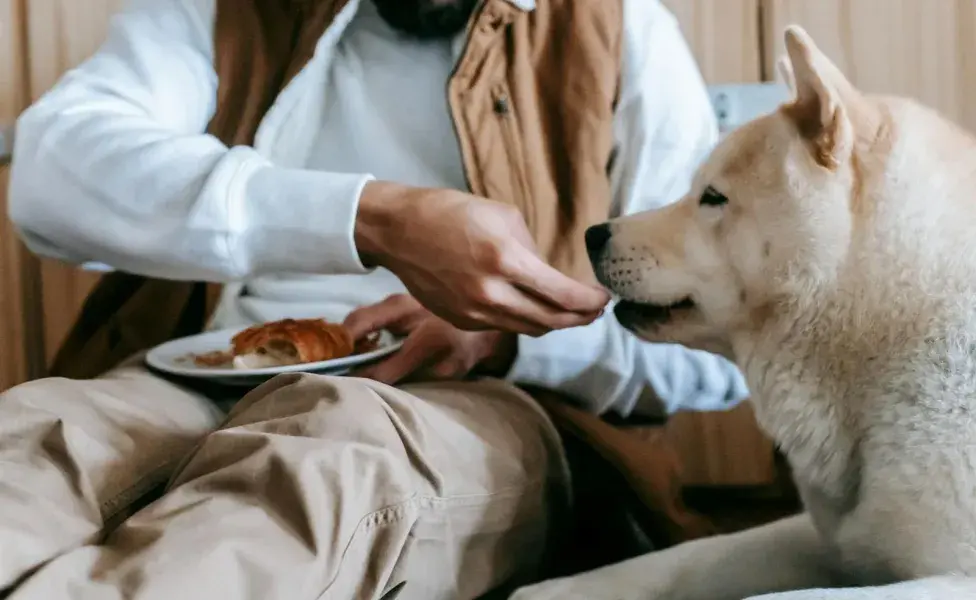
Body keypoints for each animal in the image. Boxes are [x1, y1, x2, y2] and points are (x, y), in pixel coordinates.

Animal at [510, 25, 976, 600]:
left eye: (712, 197)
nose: (593, 235)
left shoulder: (950, 576)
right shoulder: (829, 539)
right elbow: (688, 557)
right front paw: (554, 587)